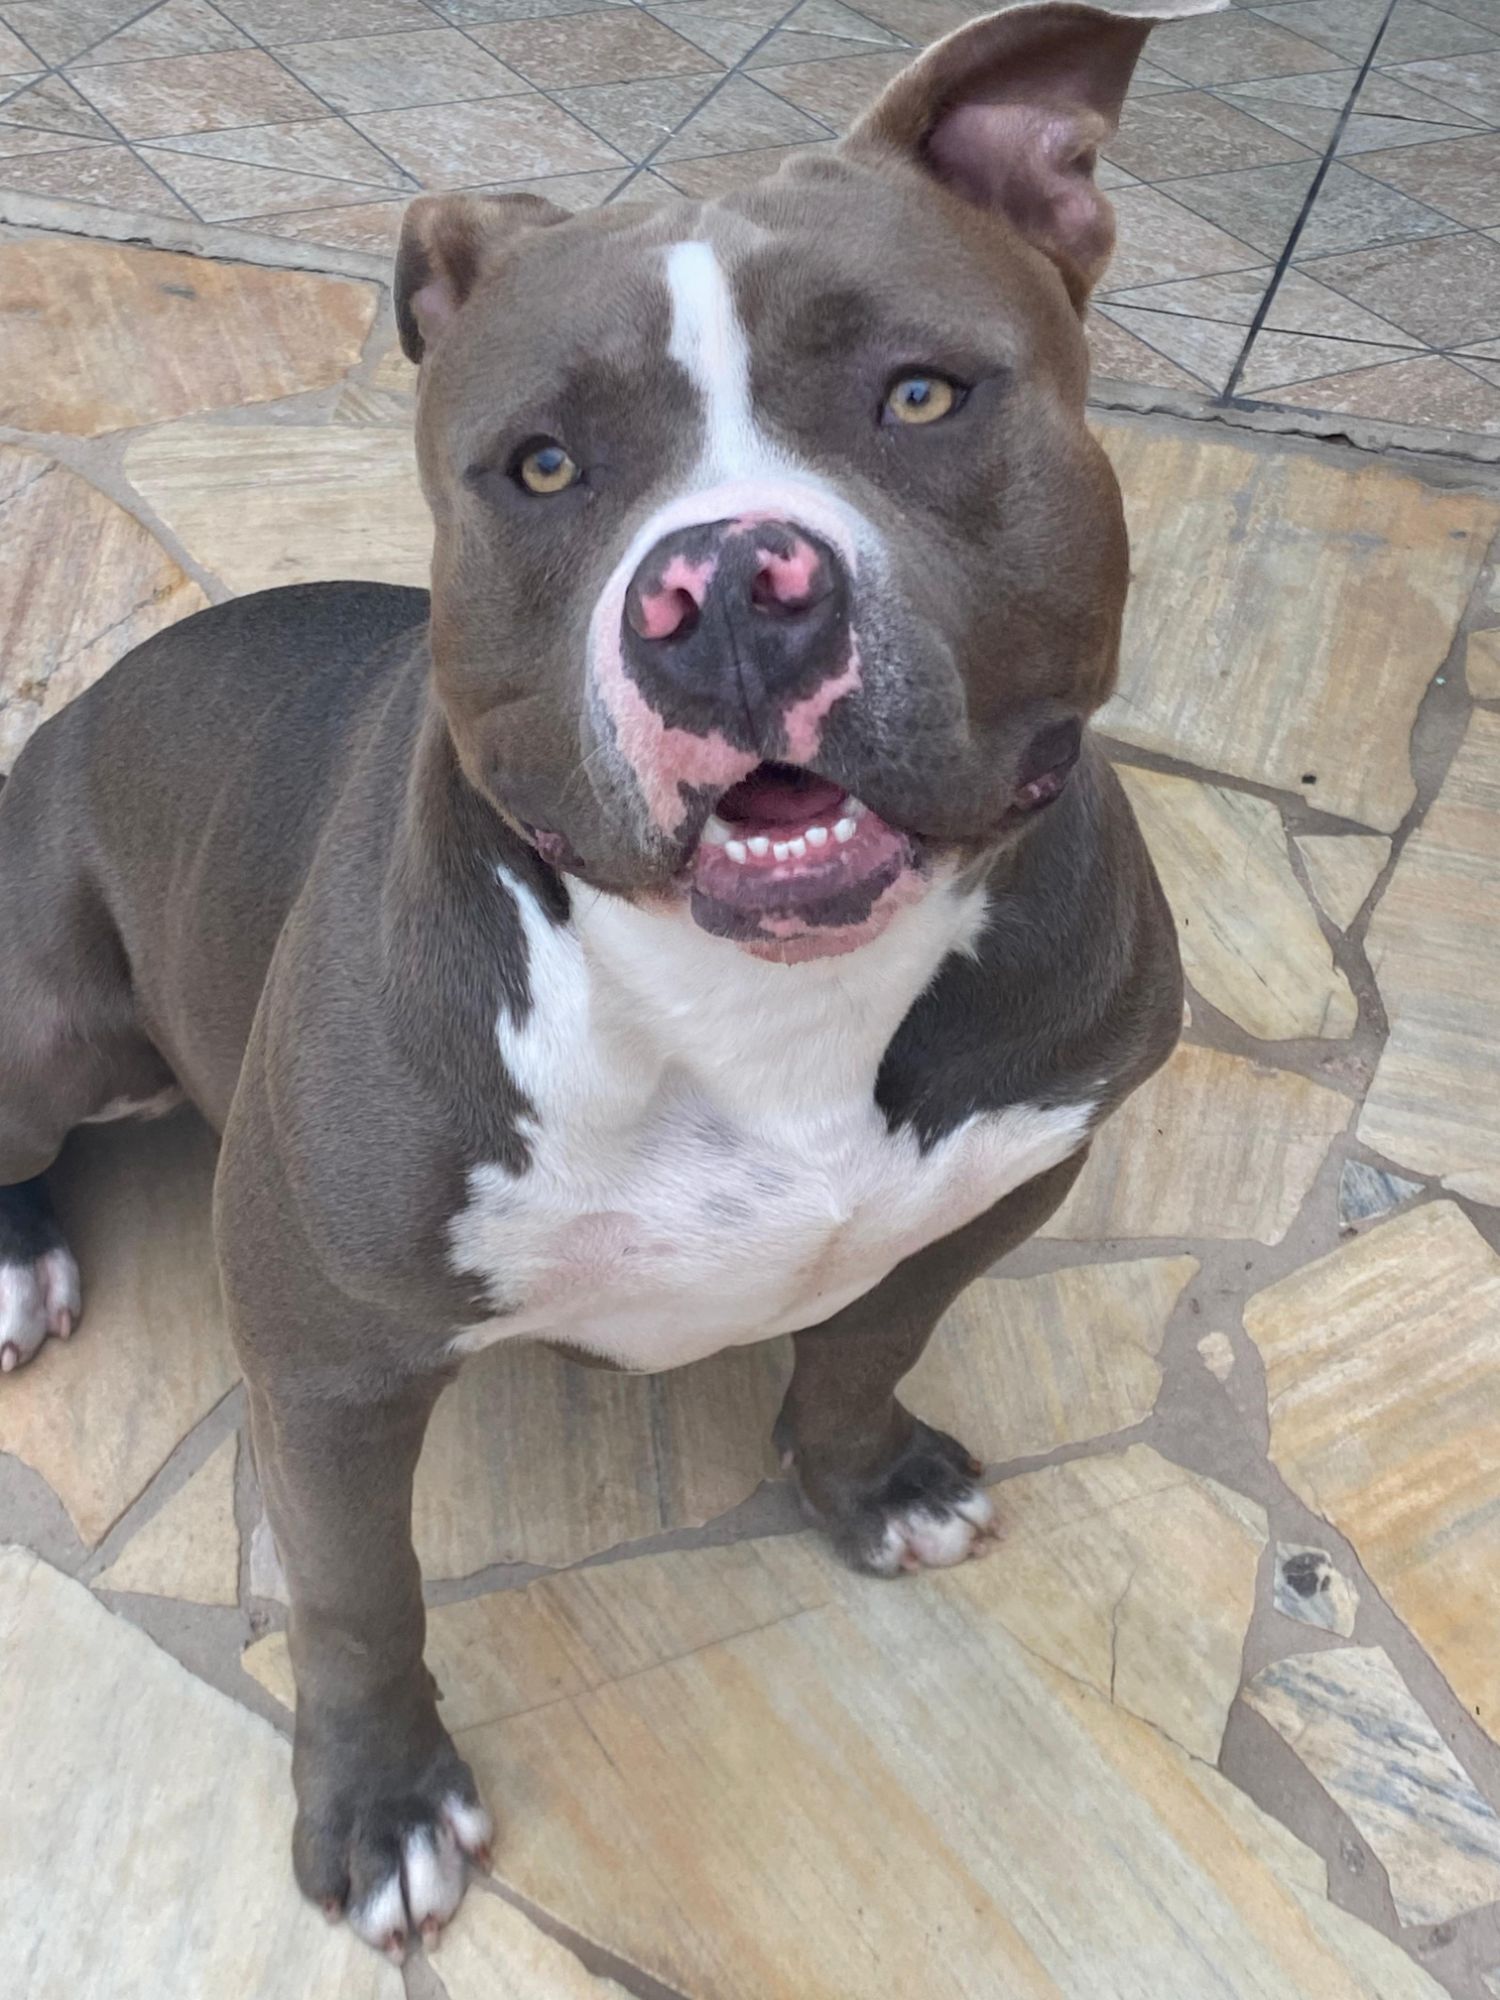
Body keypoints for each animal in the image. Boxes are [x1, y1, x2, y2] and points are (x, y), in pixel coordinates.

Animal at [0, 0, 1196, 1959]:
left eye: (920, 394)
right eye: (545, 465)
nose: (728, 590)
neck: (764, 1005)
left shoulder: (1025, 1159)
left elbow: (868, 1339)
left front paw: (870, 1483)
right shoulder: (325, 1355)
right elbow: (355, 1591)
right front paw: (383, 1805)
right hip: (52, 1019)